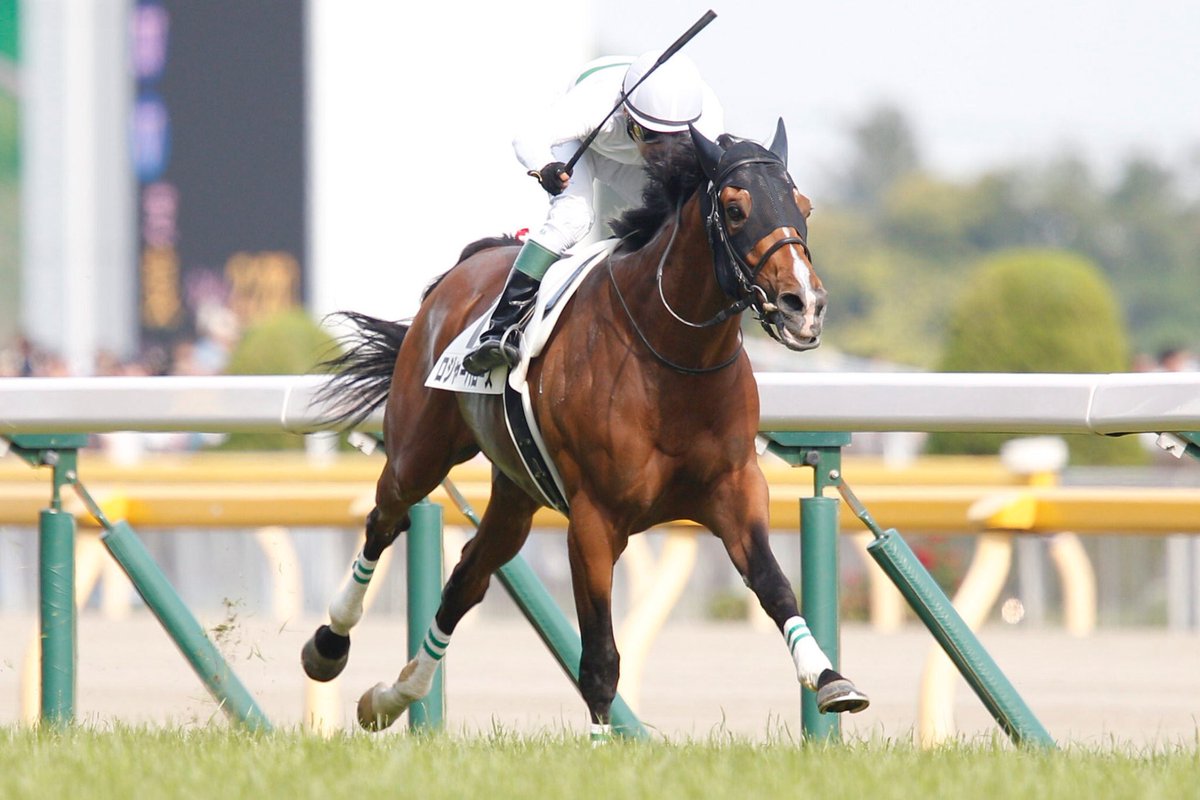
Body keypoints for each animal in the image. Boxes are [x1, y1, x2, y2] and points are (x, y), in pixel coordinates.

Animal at [301, 120, 869, 737]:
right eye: (736, 209)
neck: (672, 357)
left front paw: (830, 678)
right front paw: (600, 744)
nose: (803, 305)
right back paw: (329, 645)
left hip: (517, 492)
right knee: (384, 520)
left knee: (467, 577)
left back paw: (393, 695)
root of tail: (466, 269)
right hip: (419, 452)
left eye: (803, 206)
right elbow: (599, 655)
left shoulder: (735, 490)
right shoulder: (595, 519)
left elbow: (774, 585)